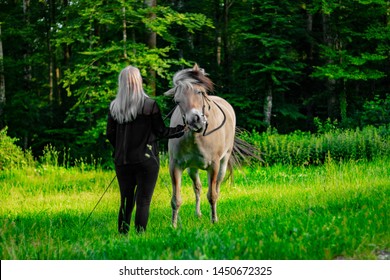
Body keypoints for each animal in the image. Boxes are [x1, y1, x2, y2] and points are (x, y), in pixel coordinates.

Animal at [164, 64, 236, 228]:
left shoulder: (214, 166)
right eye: (177, 101)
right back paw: (198, 214)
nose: (195, 120)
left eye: (199, 92)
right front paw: (173, 225)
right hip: (192, 168)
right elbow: (176, 199)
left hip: (223, 162)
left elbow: (212, 195)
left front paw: (214, 220)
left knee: (217, 186)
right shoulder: (175, 166)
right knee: (197, 187)